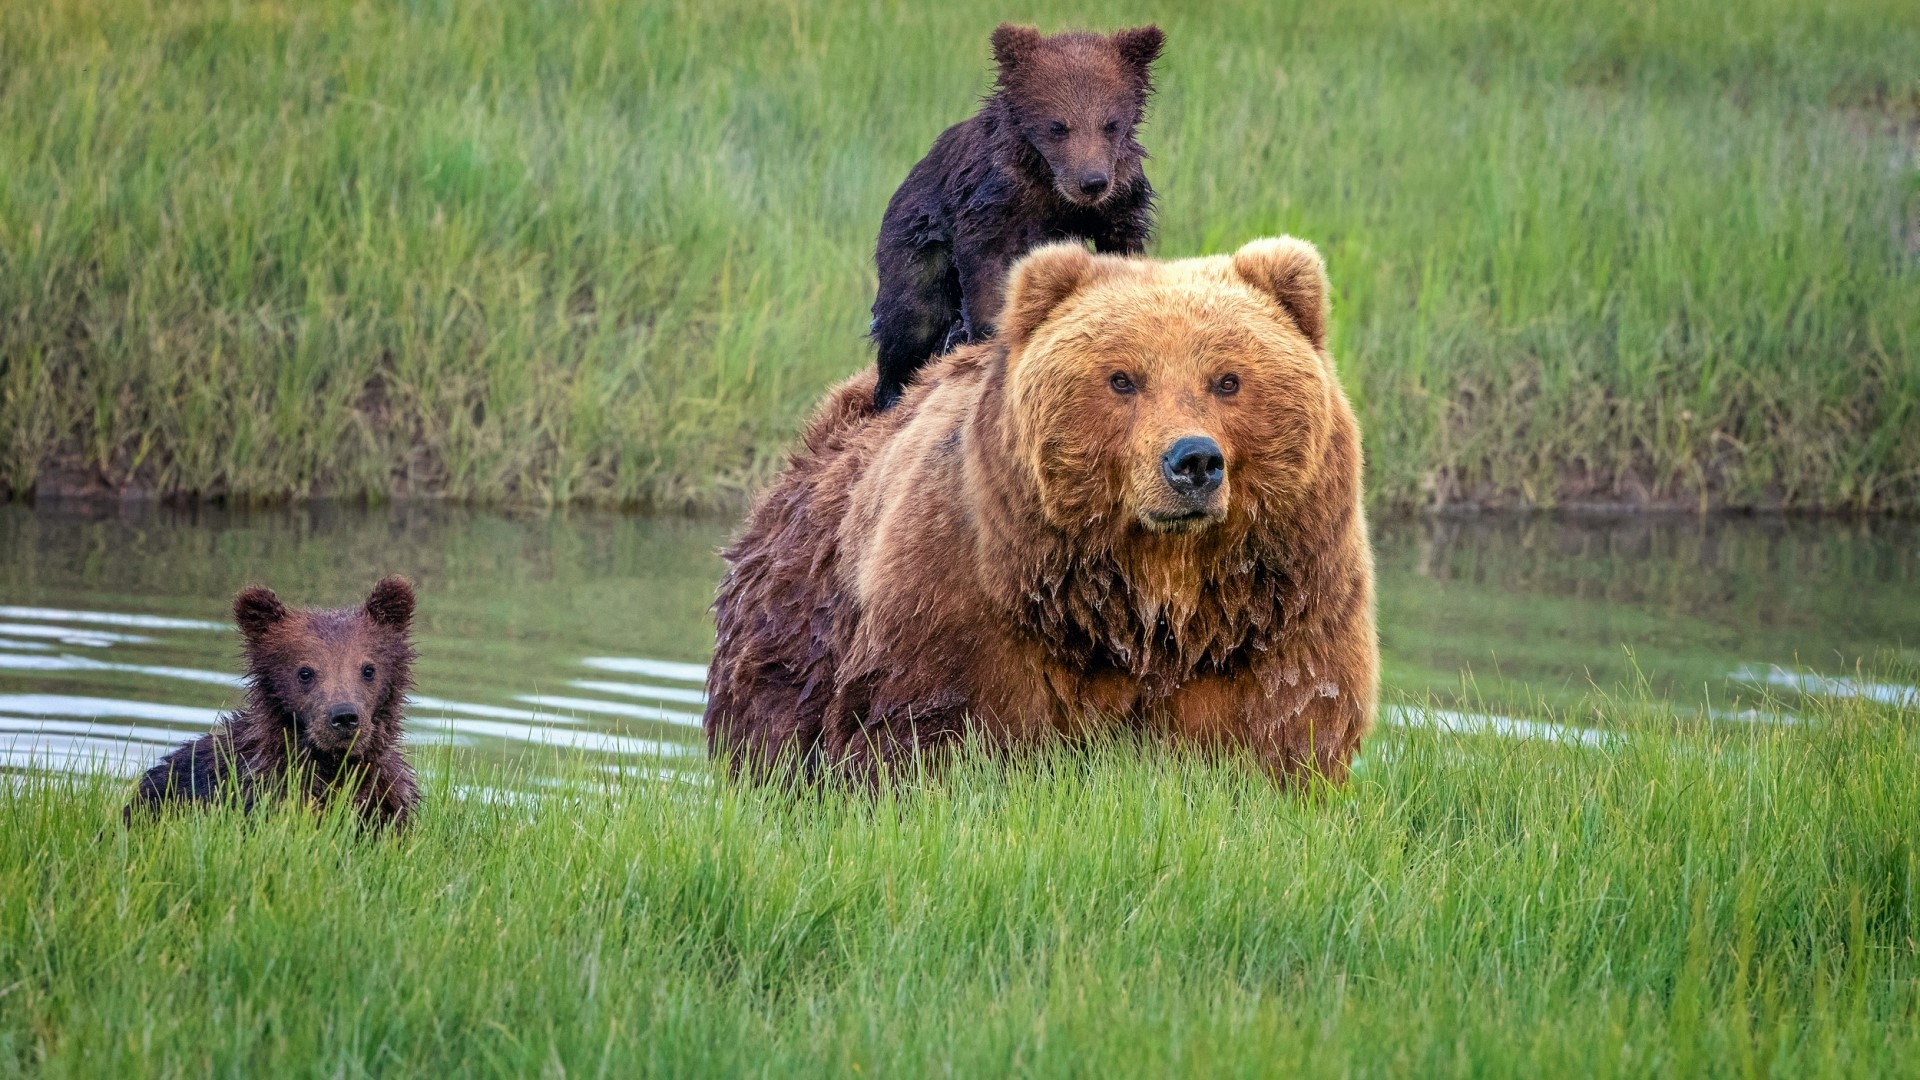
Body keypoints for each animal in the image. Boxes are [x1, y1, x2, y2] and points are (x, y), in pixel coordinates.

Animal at [707, 237, 1377, 786]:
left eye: (1228, 380)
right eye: (1122, 379)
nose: (1193, 461)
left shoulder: (1276, 615)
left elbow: (1284, 726)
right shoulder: (965, 605)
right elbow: (934, 734)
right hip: (792, 637)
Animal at [867, 22, 1164, 412]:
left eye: (1111, 124)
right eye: (1058, 126)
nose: (1092, 182)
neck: (1051, 186)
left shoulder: (1120, 194)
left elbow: (1122, 242)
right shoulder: (995, 199)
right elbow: (986, 266)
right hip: (913, 241)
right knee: (911, 316)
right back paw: (891, 392)